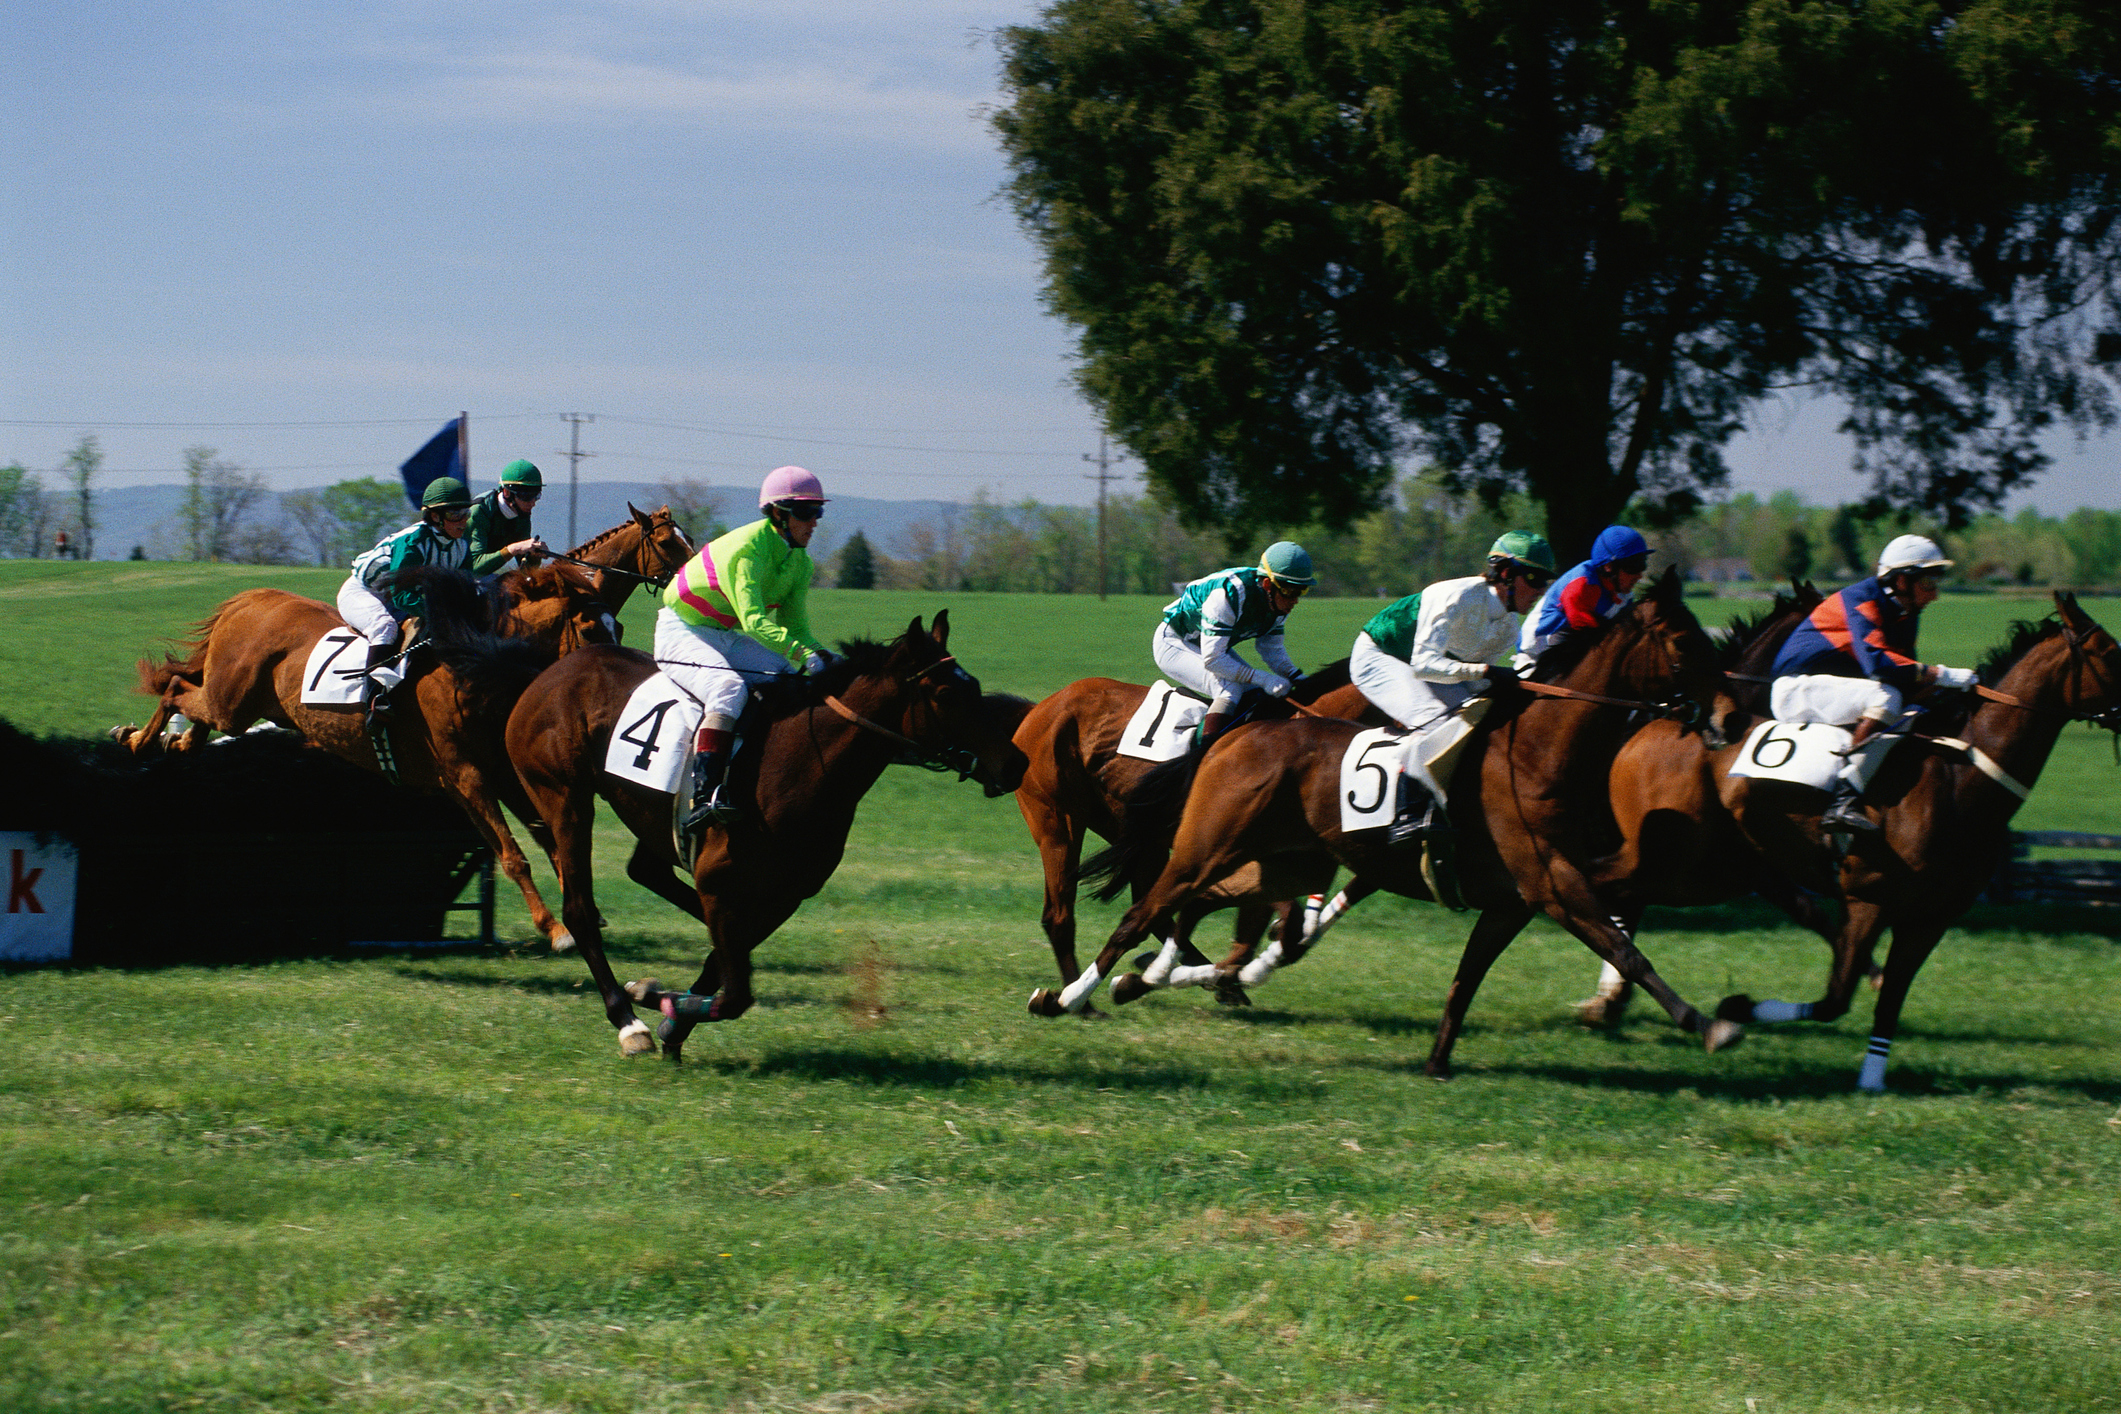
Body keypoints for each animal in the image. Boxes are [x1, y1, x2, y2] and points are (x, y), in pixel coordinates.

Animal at [117, 563, 619, 949]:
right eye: (592, 627)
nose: (612, 680)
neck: (473, 662)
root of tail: (251, 599)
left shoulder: (500, 772)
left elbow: (547, 839)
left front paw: (584, 912)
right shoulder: (465, 776)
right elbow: (513, 853)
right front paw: (557, 930)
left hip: (245, 705)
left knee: (191, 698)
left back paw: (173, 742)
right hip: (233, 701)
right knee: (177, 688)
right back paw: (137, 740)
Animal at [487, 614, 1035, 1055]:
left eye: (975, 685)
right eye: (946, 694)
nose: (1016, 763)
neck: (804, 763)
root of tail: (550, 672)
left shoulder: (786, 892)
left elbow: (728, 967)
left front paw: (671, 1015)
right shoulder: (719, 882)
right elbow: (735, 994)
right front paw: (663, 1014)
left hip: (645, 813)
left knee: (648, 873)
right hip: (565, 799)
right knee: (581, 909)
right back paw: (628, 1021)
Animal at [1009, 665, 1374, 996]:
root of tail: (1041, 708)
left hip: (1132, 830)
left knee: (1149, 903)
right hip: (1058, 820)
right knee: (1061, 914)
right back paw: (1082, 996)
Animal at [1713, 593, 2121, 1093]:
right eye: (2110, 652)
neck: (1958, 783)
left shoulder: (1929, 918)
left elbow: (1890, 998)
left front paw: (1872, 1081)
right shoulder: (1867, 902)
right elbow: (1834, 999)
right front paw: (1734, 1011)